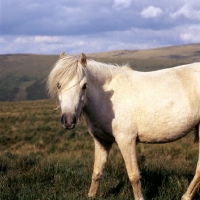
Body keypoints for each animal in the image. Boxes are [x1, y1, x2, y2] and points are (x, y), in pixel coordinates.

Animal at [47, 52, 200, 200]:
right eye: (58, 85)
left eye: (84, 86)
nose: (68, 120)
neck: (106, 98)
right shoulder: (102, 141)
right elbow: (97, 172)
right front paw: (91, 195)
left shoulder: (126, 140)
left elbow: (133, 175)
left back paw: (186, 196)